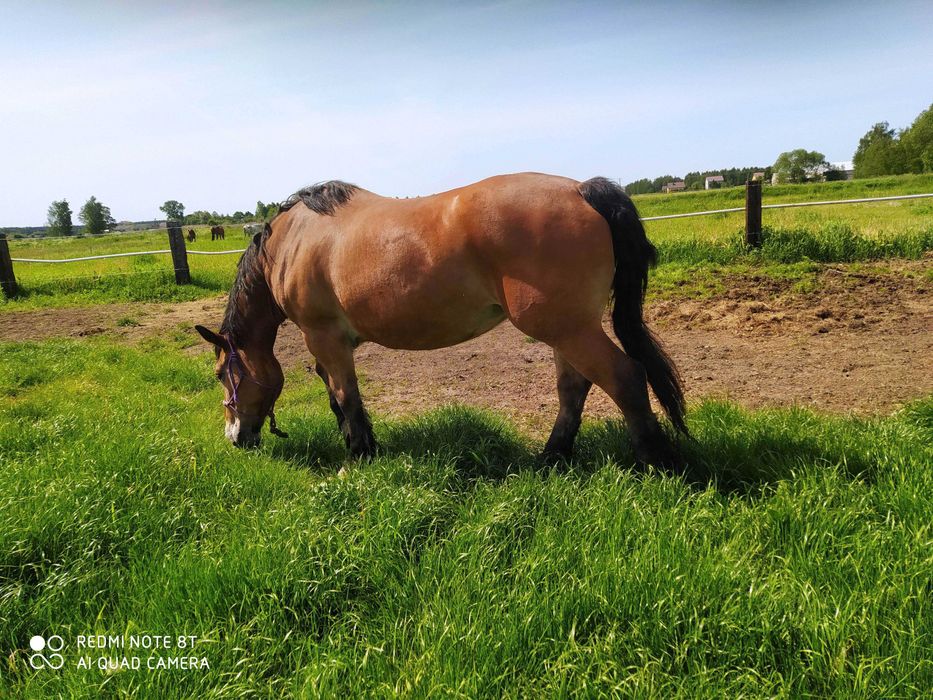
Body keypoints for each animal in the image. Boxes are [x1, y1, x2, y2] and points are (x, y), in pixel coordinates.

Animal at [193, 174, 684, 470]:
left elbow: (346, 397)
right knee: (574, 389)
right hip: (566, 330)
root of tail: (581, 190)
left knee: (625, 378)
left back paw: (657, 464)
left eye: (220, 373)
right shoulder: (329, 346)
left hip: (569, 330)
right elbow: (338, 398)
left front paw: (361, 455)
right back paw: (550, 460)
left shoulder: (325, 338)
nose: (235, 437)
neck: (291, 241)